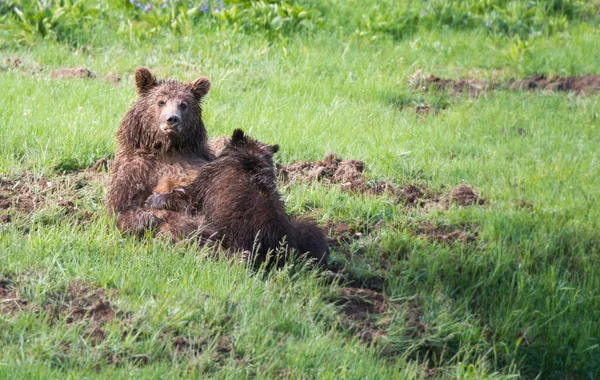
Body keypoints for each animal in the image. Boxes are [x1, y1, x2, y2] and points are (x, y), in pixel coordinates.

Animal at [108, 67, 216, 239]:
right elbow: (122, 206)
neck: (167, 148)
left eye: (183, 104)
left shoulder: (203, 157)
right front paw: (149, 217)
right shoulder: (135, 167)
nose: (172, 119)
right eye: (161, 101)